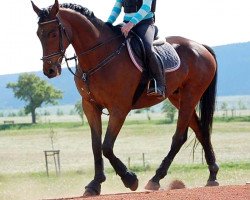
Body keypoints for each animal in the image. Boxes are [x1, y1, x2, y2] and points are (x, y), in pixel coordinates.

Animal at [31, 0, 219, 196]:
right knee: (201, 131)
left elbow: (106, 146)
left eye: (53, 33)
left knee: (180, 137)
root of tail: (200, 47)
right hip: (178, 98)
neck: (101, 55)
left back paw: (155, 179)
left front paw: (130, 179)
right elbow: (96, 146)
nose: (49, 70)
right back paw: (212, 175)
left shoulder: (119, 109)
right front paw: (95, 184)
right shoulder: (90, 107)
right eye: (39, 34)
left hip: (190, 96)